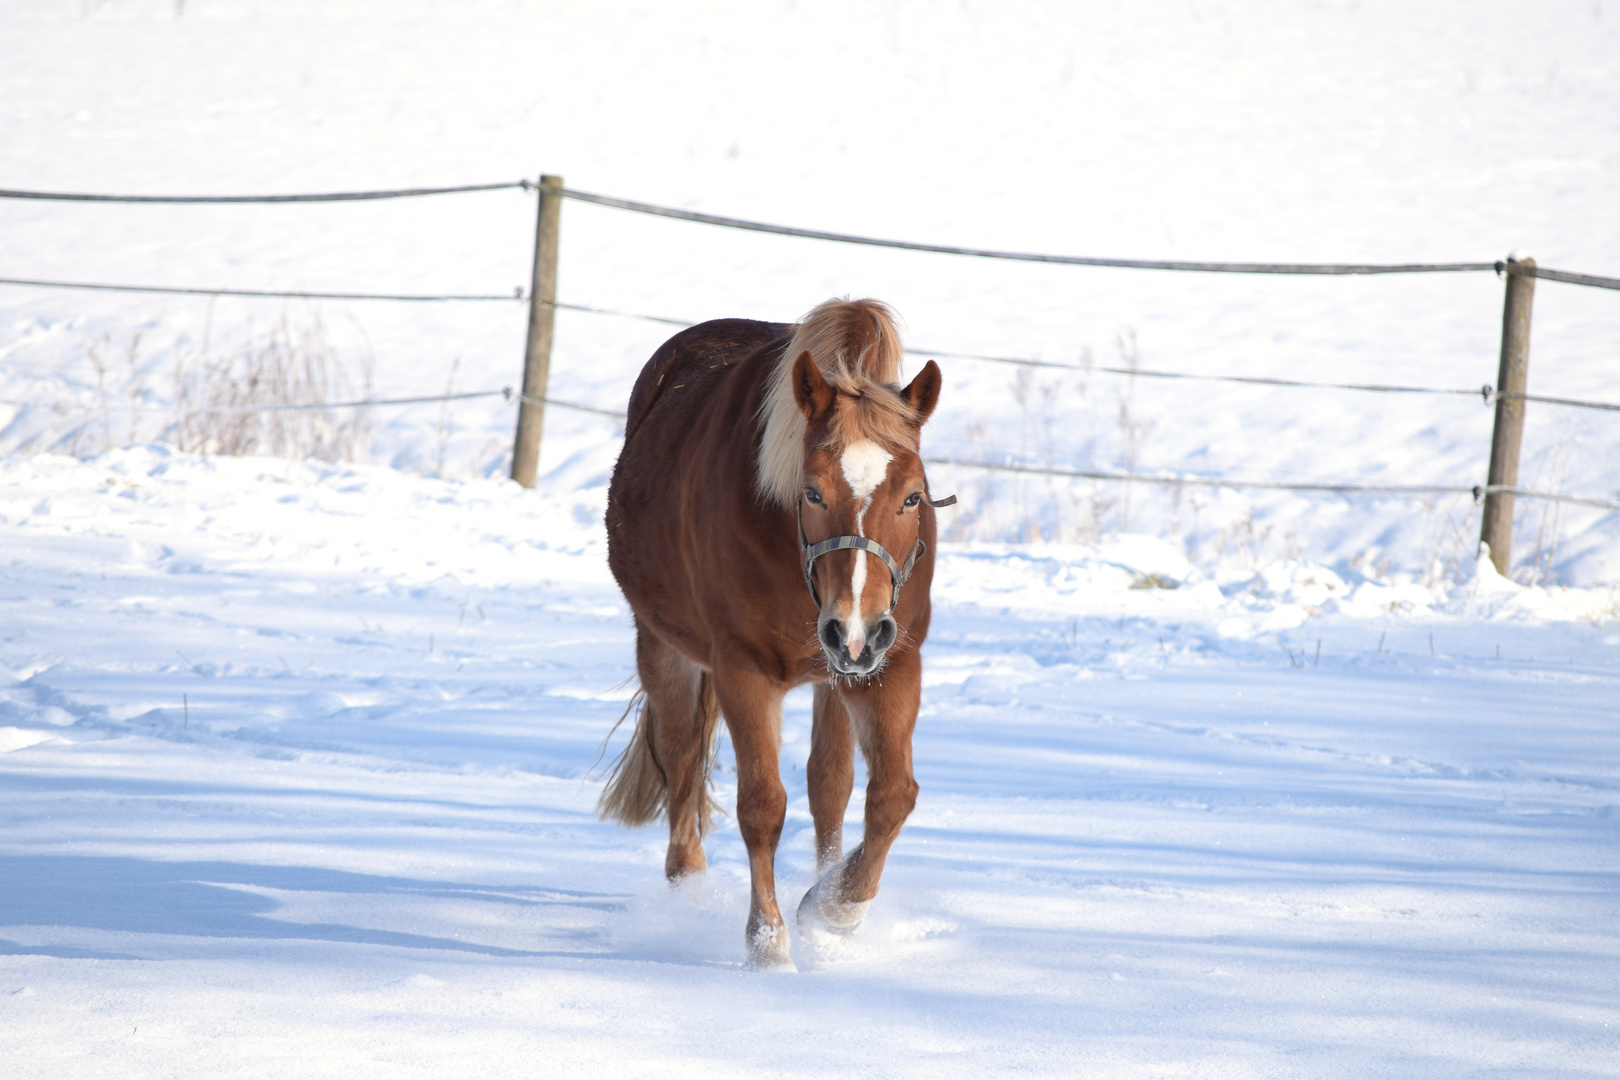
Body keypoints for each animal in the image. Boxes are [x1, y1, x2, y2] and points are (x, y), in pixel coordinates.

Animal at [602, 297, 946, 971]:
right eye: (811, 491)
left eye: (913, 497)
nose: (854, 630)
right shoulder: (743, 670)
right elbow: (761, 806)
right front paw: (769, 947)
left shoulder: (891, 664)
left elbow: (892, 794)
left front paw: (834, 908)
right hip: (664, 649)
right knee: (681, 764)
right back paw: (687, 900)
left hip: (836, 676)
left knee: (829, 785)